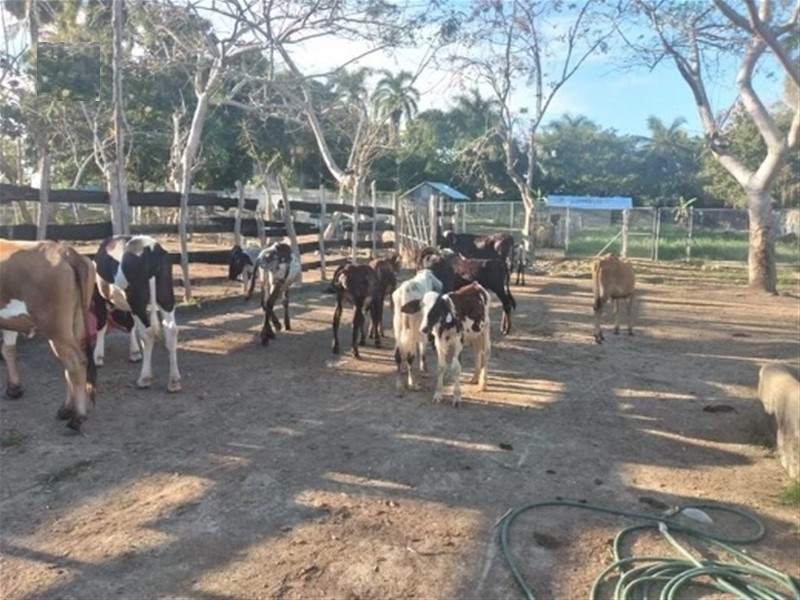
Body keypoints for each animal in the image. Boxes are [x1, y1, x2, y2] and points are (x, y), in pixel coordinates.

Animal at [0, 238, 97, 432]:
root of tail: (64, 250)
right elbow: (8, 350)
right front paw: (14, 388)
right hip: (75, 324)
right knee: (70, 365)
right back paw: (66, 409)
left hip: (55, 327)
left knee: (76, 362)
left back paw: (77, 418)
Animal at [93, 234, 180, 394]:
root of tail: (150, 247)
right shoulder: (130, 308)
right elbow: (132, 325)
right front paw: (134, 352)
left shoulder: (98, 296)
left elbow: (101, 324)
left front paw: (98, 356)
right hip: (166, 297)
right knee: (171, 330)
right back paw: (174, 381)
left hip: (137, 300)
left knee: (148, 332)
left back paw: (144, 378)